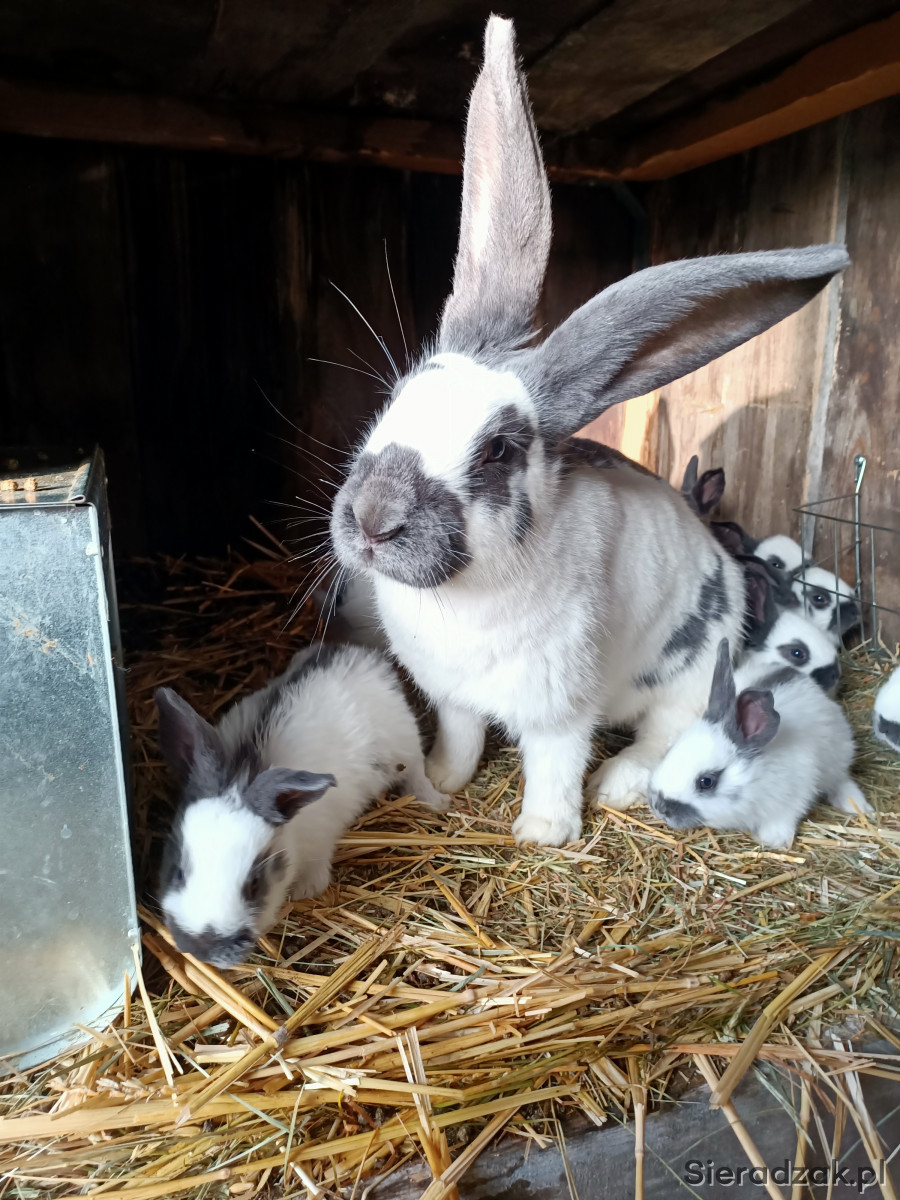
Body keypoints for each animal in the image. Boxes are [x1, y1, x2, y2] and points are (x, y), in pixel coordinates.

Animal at [155, 643, 449, 968]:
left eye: (254, 885)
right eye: (178, 872)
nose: (204, 950)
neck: (246, 771)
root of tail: (355, 652)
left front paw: (305, 891)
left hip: (405, 745)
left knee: (417, 774)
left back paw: (436, 802)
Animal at [328, 15, 849, 847]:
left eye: (498, 450)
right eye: (393, 401)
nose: (374, 520)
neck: (466, 595)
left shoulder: (560, 706)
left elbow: (555, 761)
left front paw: (543, 833)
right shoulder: (451, 697)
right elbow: (460, 739)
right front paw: (442, 781)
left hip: (692, 673)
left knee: (663, 736)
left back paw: (620, 785)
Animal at [648, 640, 870, 848]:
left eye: (706, 782)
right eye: (669, 751)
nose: (659, 808)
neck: (756, 780)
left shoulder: (793, 796)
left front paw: (775, 840)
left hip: (837, 754)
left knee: (840, 780)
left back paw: (856, 805)